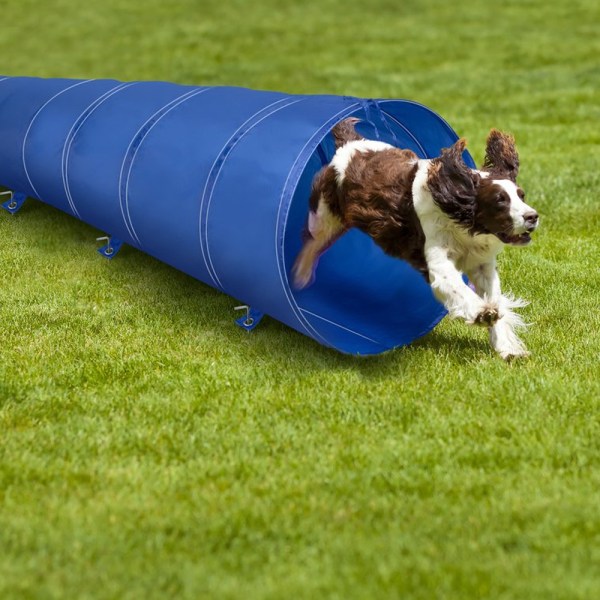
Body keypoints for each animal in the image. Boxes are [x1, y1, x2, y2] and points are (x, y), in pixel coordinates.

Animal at [292, 119, 540, 358]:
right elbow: (456, 287)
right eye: (500, 200)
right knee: (312, 242)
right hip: (325, 214)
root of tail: (351, 144)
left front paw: (508, 349)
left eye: (521, 195)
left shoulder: (482, 265)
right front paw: (482, 313)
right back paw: (300, 275)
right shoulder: (437, 260)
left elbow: (496, 299)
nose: (532, 216)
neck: (462, 222)